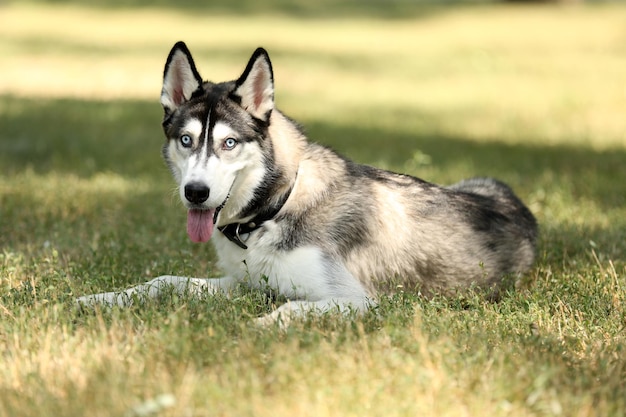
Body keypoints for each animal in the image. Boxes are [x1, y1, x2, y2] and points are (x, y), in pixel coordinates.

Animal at [77, 40, 536, 324]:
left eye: (229, 142)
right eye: (186, 140)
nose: (196, 193)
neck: (274, 208)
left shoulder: (357, 300)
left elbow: (291, 309)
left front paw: (258, 326)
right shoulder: (244, 282)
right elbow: (165, 281)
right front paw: (101, 299)